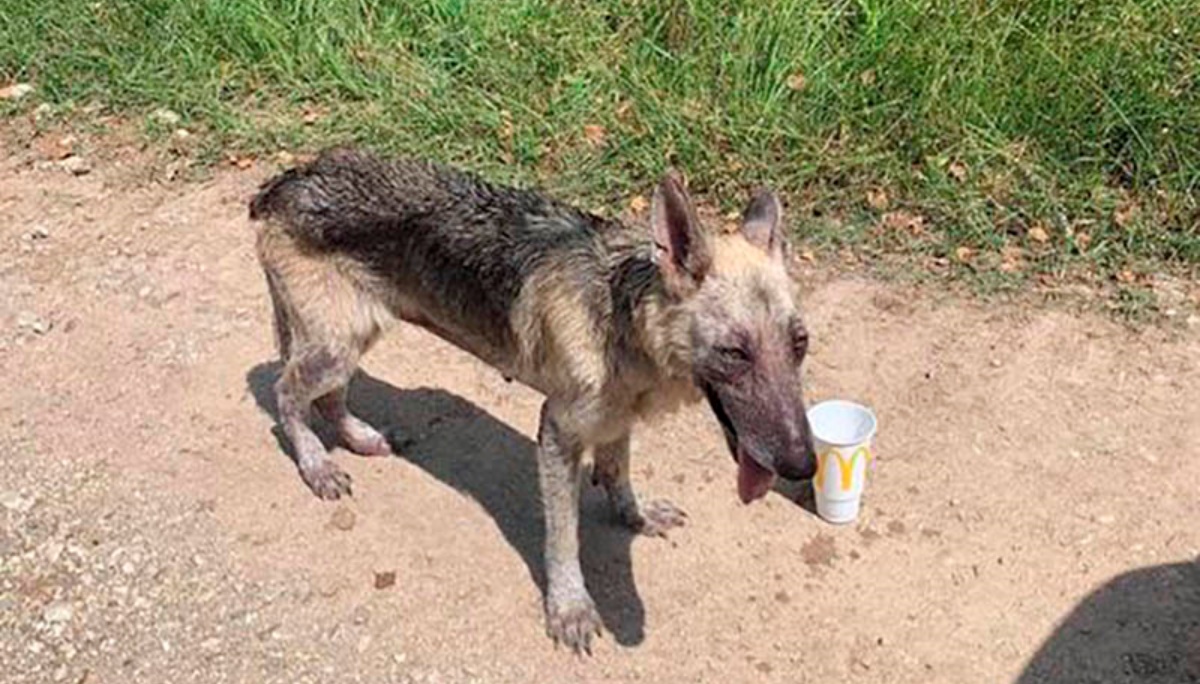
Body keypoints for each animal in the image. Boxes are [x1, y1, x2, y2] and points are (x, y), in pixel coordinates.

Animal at [250, 147, 816, 648]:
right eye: (735, 353)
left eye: (799, 344)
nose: (803, 465)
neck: (619, 313)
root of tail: (285, 180)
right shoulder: (558, 433)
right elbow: (564, 538)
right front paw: (569, 608)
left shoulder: (615, 420)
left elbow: (618, 476)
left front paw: (634, 517)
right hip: (335, 347)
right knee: (286, 397)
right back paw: (316, 464)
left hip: (352, 340)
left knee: (326, 399)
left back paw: (359, 438)